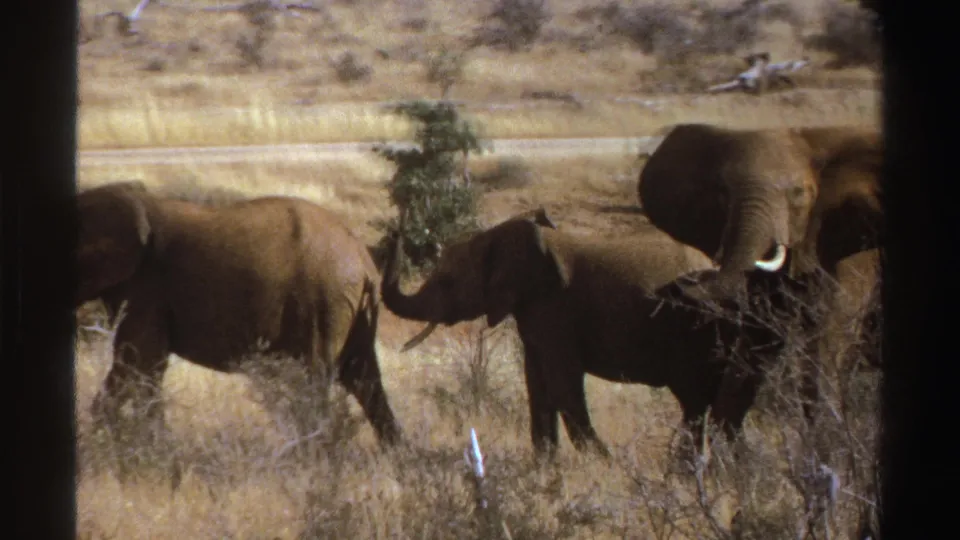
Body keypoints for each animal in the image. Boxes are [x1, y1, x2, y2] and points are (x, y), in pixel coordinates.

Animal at [76, 181, 403, 448]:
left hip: (324, 305)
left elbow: (137, 362)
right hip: (346, 312)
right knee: (364, 380)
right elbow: (144, 367)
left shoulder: (147, 290)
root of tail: (363, 258)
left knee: (315, 383)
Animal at [378, 207, 800, 460]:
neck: (499, 236)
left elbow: (562, 382)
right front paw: (546, 466)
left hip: (697, 329)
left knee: (695, 400)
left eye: (447, 282)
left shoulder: (554, 309)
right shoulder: (534, 313)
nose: (395, 230)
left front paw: (603, 463)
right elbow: (537, 383)